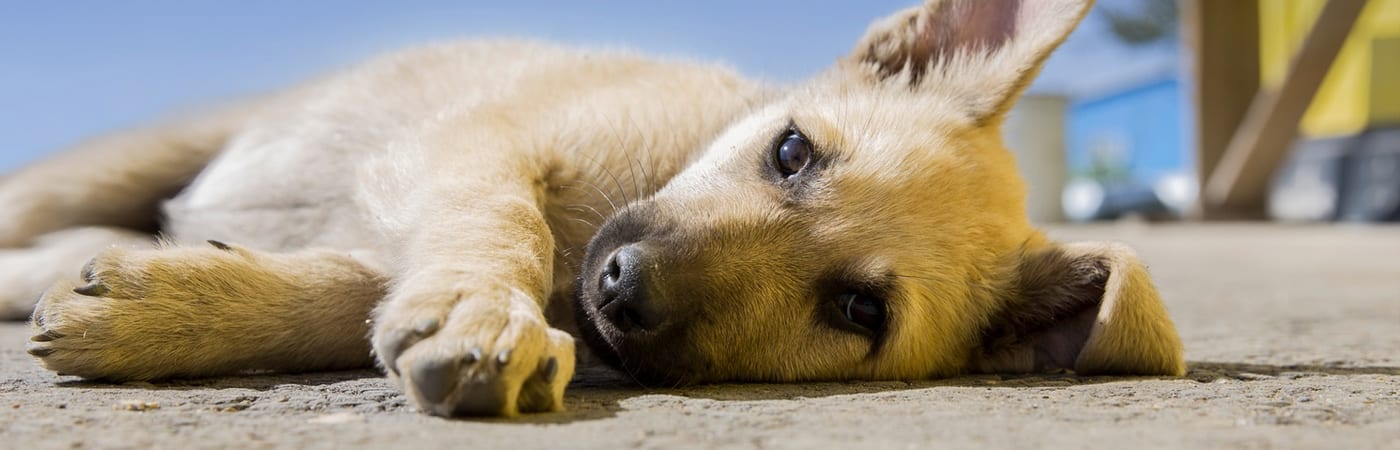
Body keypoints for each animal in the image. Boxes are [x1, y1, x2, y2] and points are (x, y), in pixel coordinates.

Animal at [2, 0, 1181, 417]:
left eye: (858, 313)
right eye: (791, 151)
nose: (619, 288)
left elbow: (351, 292)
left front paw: (165, 308)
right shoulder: (474, 143)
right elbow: (502, 227)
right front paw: (485, 311)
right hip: (123, 159)